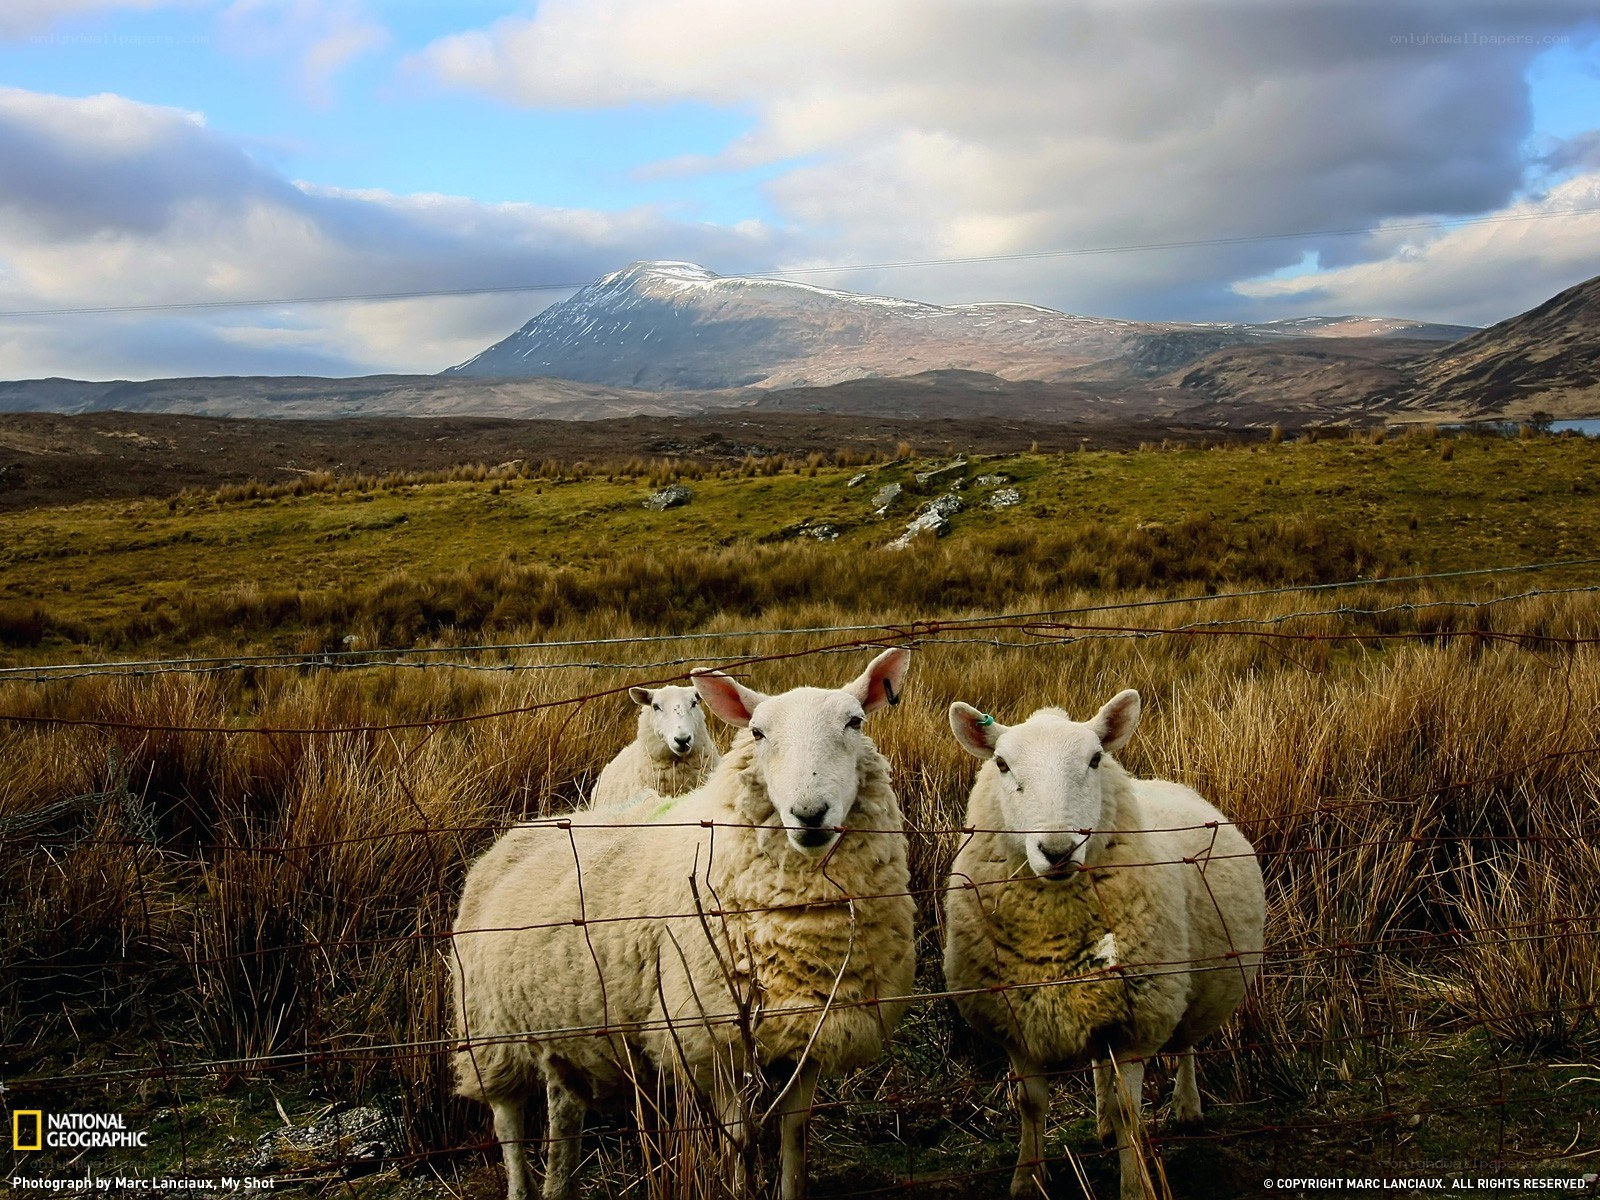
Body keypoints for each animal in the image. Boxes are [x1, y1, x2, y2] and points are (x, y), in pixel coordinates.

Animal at [941, 690, 1265, 1200]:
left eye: (1095, 759)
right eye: (1002, 764)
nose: (1058, 851)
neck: (1054, 932)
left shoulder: (1138, 1021)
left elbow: (1130, 1110)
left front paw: (1135, 1185)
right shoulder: (1016, 1024)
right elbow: (1030, 1105)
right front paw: (1027, 1178)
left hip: (1192, 989)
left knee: (1187, 1046)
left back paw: (1187, 1108)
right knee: (1099, 1067)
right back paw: (1101, 1126)